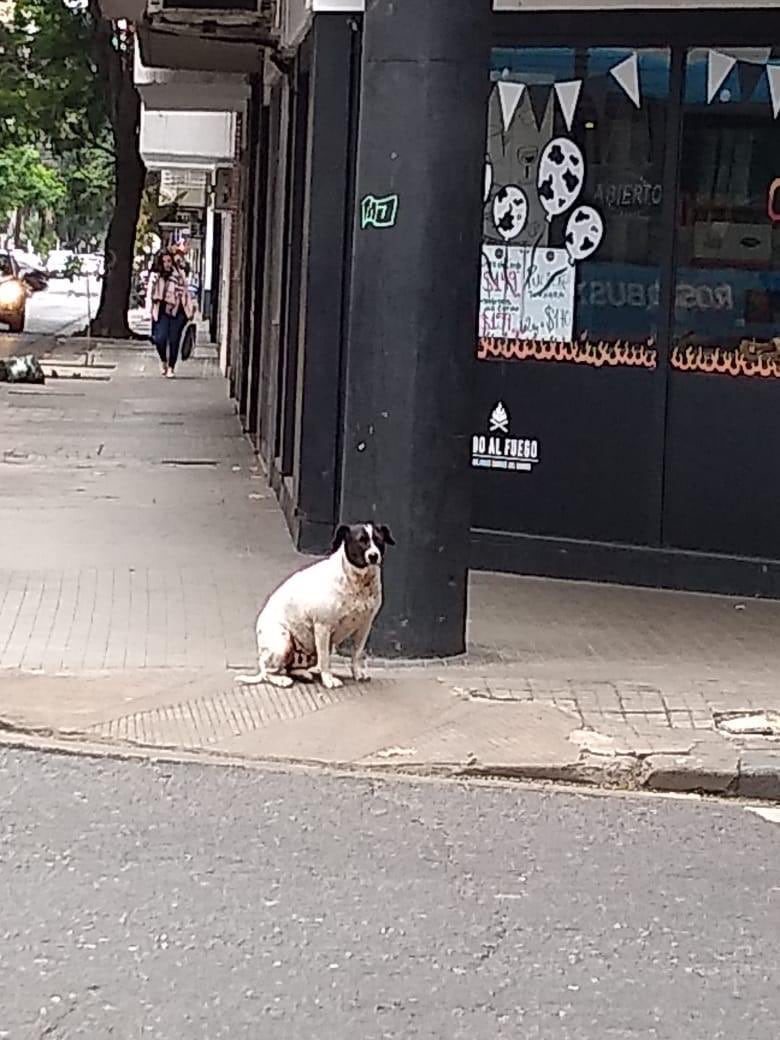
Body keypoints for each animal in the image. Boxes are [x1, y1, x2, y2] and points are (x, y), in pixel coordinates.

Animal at [231, 520, 391, 690]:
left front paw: (357, 672)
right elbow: (325, 659)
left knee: (290, 668)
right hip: (283, 643)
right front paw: (328, 679)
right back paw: (282, 680)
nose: (374, 556)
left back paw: (304, 673)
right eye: (361, 540)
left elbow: (357, 653)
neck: (358, 581)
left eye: (379, 540)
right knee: (268, 672)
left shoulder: (364, 627)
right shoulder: (323, 627)